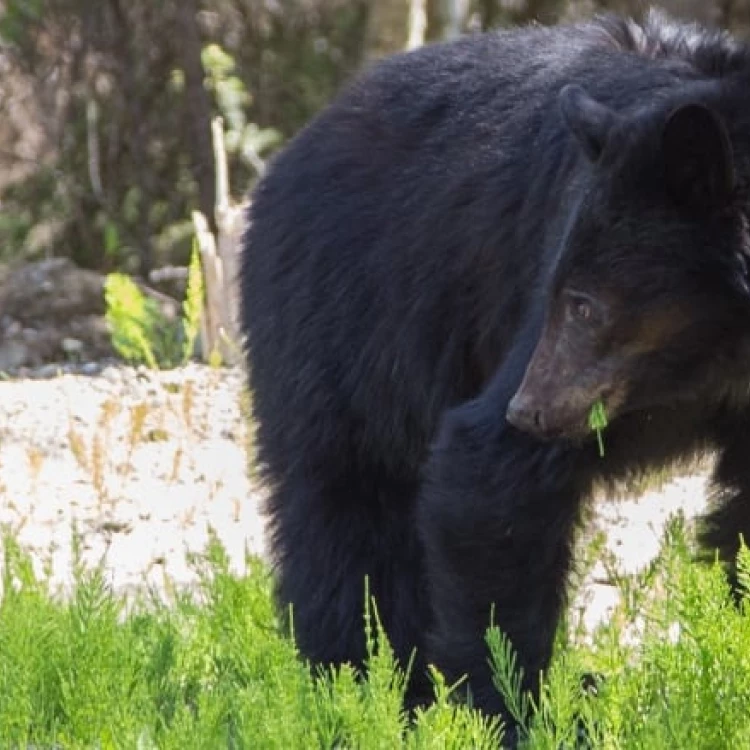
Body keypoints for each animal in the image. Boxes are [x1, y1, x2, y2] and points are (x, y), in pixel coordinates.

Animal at [242, 7, 750, 728]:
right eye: (563, 295)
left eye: (586, 305)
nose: (530, 411)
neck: (722, 353)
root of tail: (289, 154)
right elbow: (488, 478)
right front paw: (510, 712)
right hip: (344, 318)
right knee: (346, 511)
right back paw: (359, 686)